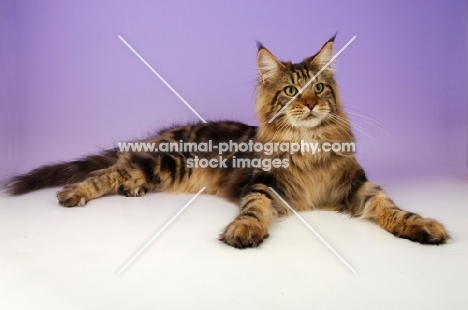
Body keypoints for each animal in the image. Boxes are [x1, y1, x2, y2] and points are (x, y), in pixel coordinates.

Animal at [4, 35, 450, 247]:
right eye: (291, 91)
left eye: (319, 88)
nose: (308, 103)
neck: (309, 147)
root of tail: (163, 134)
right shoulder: (264, 185)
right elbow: (254, 209)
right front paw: (245, 230)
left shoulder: (360, 188)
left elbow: (393, 208)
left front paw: (421, 226)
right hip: (163, 160)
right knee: (108, 172)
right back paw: (75, 193)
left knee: (123, 174)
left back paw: (133, 191)